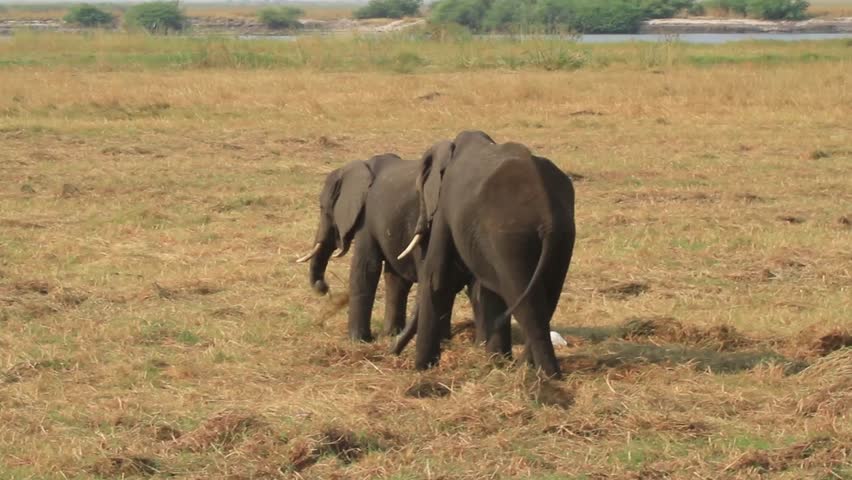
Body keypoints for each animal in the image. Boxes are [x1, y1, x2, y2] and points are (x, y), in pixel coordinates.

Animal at [296, 153, 486, 343]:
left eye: (323, 208)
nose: (324, 288)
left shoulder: (366, 219)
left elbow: (366, 268)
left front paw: (359, 341)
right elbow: (394, 277)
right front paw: (389, 334)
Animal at [397, 131, 576, 378]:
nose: (394, 352)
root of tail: (546, 213)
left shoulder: (446, 207)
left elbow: (437, 278)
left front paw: (422, 369)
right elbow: (486, 288)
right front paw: (495, 362)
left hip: (510, 238)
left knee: (526, 304)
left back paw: (546, 376)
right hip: (562, 237)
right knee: (547, 299)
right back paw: (527, 369)